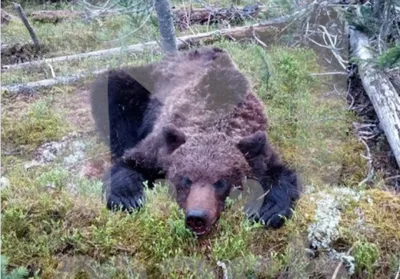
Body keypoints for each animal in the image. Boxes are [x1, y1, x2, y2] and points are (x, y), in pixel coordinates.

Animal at [89, 47, 298, 236]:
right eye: (186, 179)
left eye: (221, 182)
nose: (197, 217)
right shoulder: (160, 146)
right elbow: (130, 163)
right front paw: (128, 198)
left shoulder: (259, 147)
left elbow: (280, 174)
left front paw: (269, 210)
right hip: (145, 84)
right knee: (113, 89)